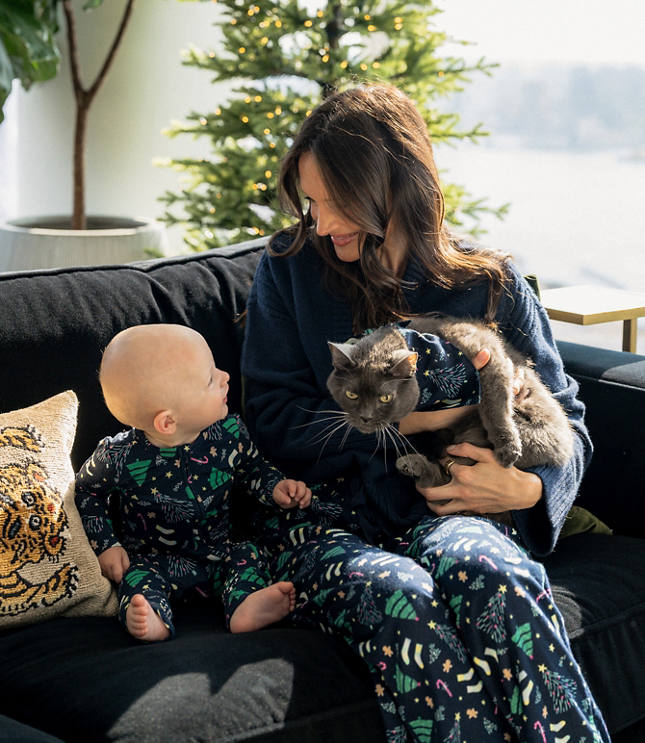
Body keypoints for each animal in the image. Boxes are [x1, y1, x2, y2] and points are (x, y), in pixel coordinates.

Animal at [328, 312, 572, 492]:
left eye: (385, 397)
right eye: (351, 395)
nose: (365, 418)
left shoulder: (489, 357)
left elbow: (495, 405)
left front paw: (508, 447)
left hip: (528, 434)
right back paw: (411, 465)